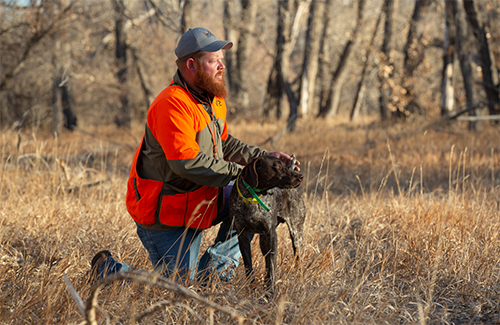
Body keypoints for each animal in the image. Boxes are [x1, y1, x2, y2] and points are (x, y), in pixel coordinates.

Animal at [229, 156, 306, 288]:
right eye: (278, 166)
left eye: (283, 165)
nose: (300, 176)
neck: (252, 197)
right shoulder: (242, 235)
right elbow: (248, 265)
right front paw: (251, 287)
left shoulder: (271, 235)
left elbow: (271, 267)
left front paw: (270, 290)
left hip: (296, 234)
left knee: (298, 257)